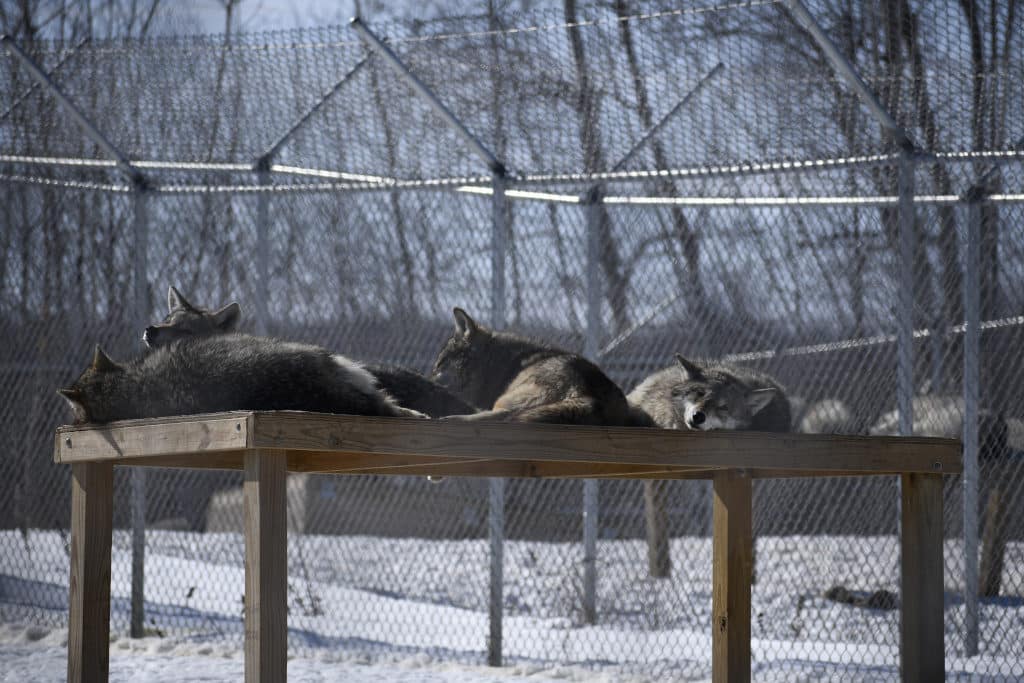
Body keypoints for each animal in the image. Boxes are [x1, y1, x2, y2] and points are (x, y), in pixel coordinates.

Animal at [425, 307, 630, 423]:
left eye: (440, 365)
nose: (427, 379)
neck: (494, 363)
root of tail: (587, 395)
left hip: (508, 400)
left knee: (502, 417)